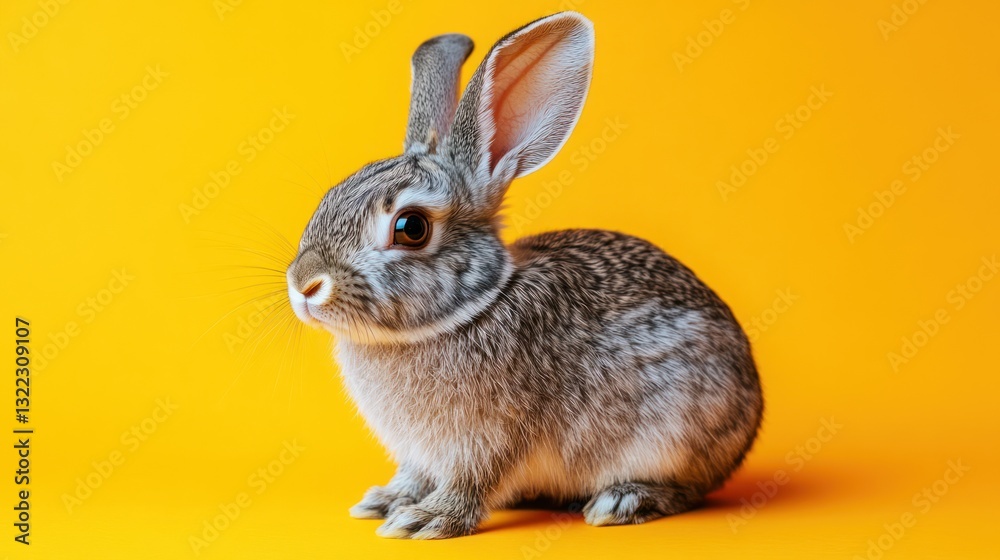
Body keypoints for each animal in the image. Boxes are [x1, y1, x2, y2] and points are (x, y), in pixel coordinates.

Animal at [285, 11, 763, 539]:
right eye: (331, 196)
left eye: (411, 228)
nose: (305, 284)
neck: (469, 310)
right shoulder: (422, 452)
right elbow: (414, 474)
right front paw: (387, 501)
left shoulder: (492, 437)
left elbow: (473, 481)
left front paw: (426, 519)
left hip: (678, 430)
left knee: (689, 489)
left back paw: (623, 501)